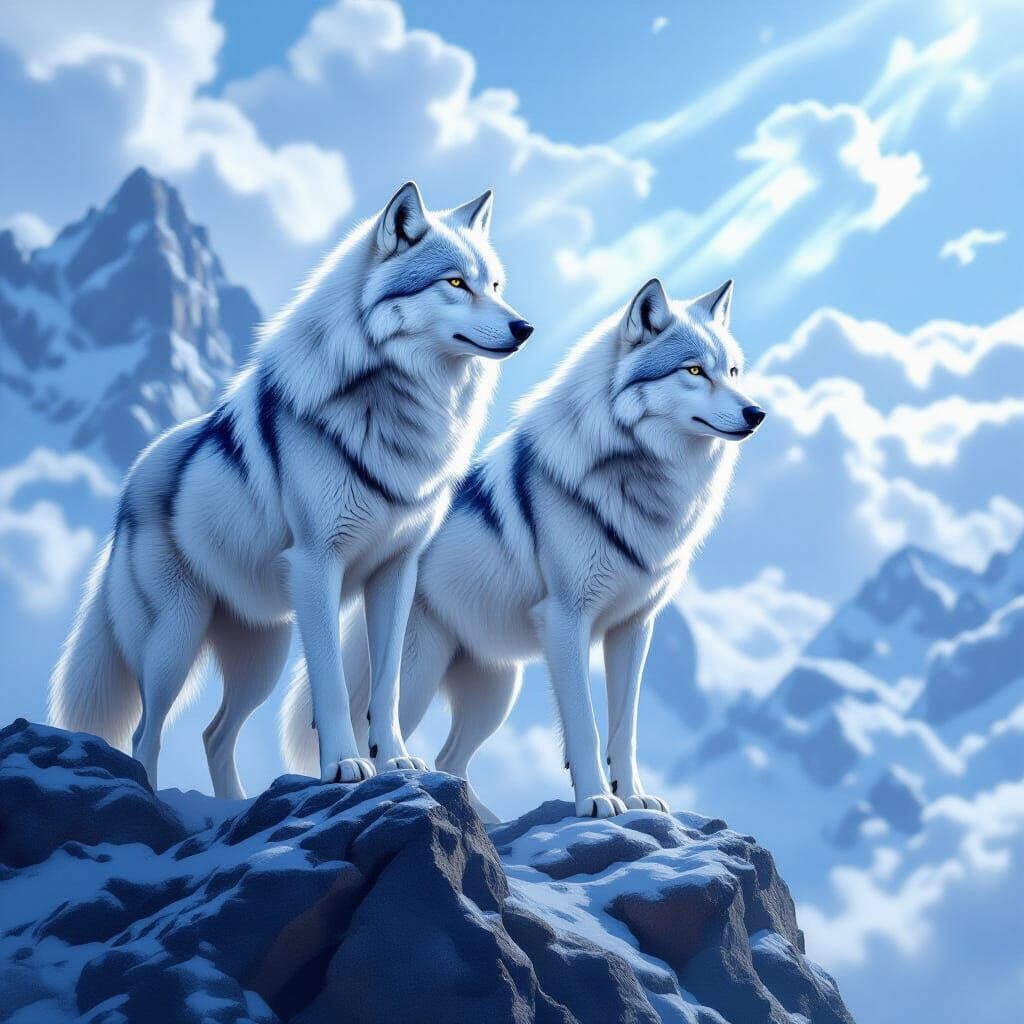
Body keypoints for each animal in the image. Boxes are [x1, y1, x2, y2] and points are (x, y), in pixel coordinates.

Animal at [50, 181, 532, 799]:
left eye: (494, 286)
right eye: (454, 284)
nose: (524, 328)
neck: (400, 412)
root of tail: (133, 479)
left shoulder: (396, 573)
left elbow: (387, 685)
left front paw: (396, 761)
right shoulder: (316, 564)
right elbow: (331, 683)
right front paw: (345, 765)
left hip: (263, 655)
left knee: (214, 734)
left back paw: (232, 806)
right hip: (173, 644)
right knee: (145, 732)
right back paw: (154, 799)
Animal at [282, 277, 764, 819]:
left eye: (733, 371)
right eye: (695, 371)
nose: (756, 413)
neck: (644, 480)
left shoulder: (634, 628)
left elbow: (625, 730)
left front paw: (634, 797)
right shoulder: (567, 621)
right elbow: (586, 726)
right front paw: (596, 800)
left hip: (497, 693)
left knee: (451, 759)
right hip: (419, 676)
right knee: (385, 731)